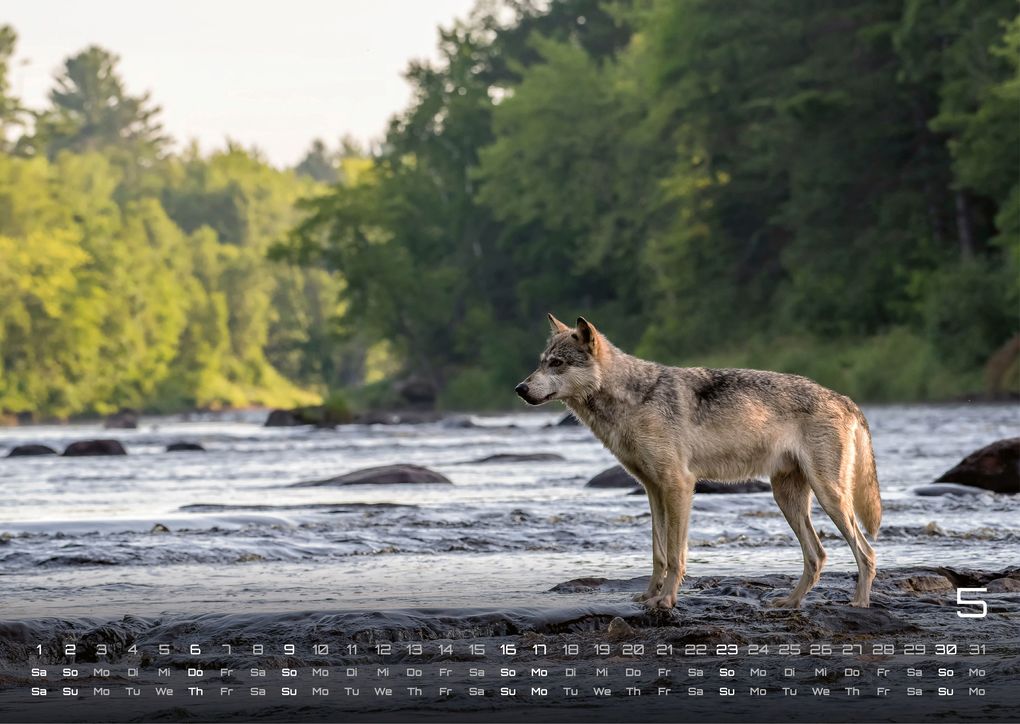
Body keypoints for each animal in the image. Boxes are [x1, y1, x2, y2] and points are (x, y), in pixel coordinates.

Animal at [516, 314, 881, 610]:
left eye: (557, 364)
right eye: (542, 362)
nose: (520, 388)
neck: (634, 398)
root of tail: (845, 399)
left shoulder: (678, 485)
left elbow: (676, 555)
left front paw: (666, 600)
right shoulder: (653, 491)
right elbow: (658, 554)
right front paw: (649, 596)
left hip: (829, 497)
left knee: (866, 552)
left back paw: (859, 603)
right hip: (788, 499)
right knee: (818, 556)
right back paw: (790, 602)